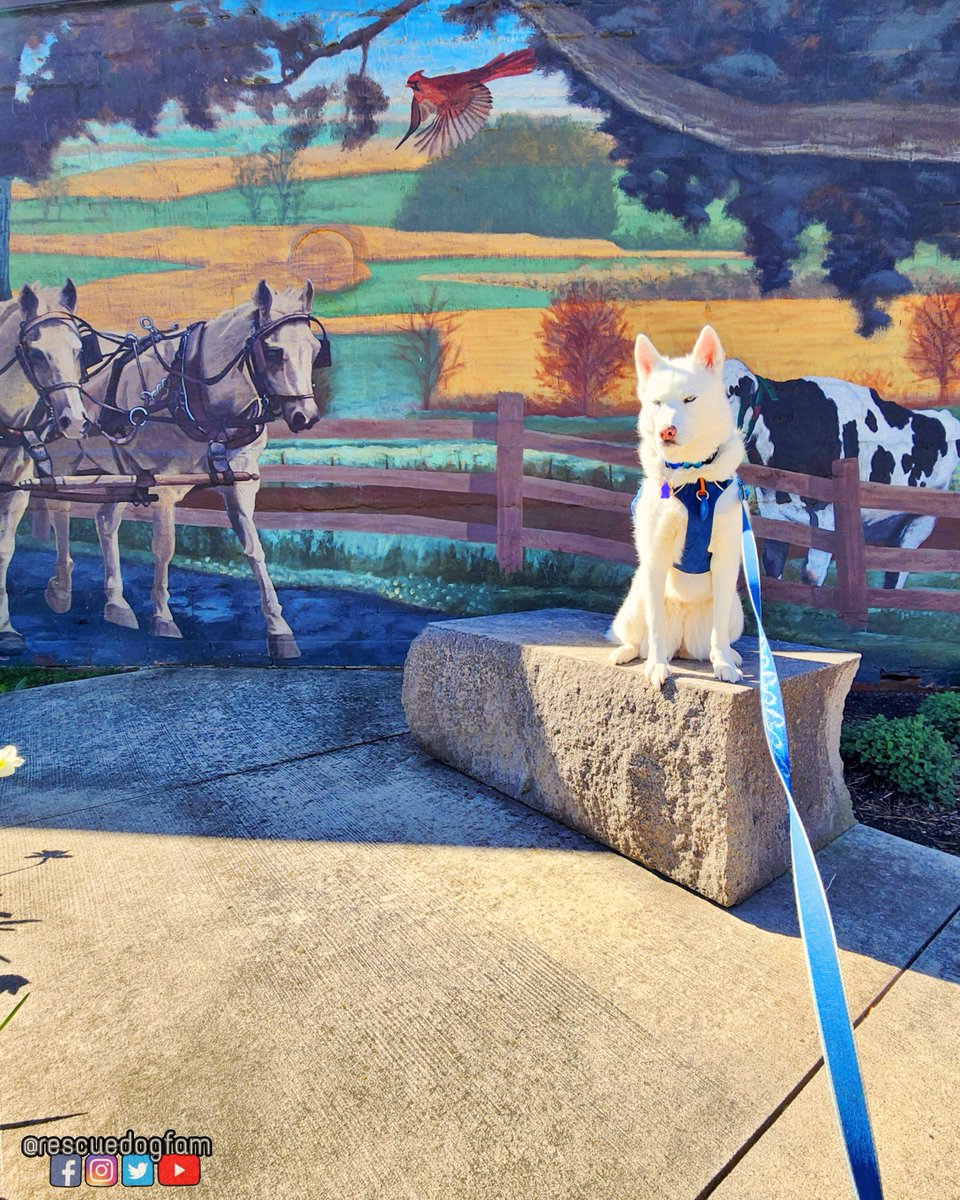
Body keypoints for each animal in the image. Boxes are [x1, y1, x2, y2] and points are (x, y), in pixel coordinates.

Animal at [612, 324, 744, 691]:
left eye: (690, 399)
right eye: (657, 403)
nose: (666, 432)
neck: (694, 478)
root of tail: (683, 644)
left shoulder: (727, 560)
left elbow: (719, 636)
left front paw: (724, 664)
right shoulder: (655, 558)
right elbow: (655, 628)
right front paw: (657, 666)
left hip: (737, 610)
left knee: (721, 633)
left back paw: (730, 655)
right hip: (634, 600)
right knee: (637, 637)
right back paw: (627, 652)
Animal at [724, 362, 955, 592]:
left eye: (731, 391)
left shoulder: (827, 518)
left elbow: (811, 576)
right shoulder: (773, 513)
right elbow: (773, 568)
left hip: (921, 521)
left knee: (900, 567)